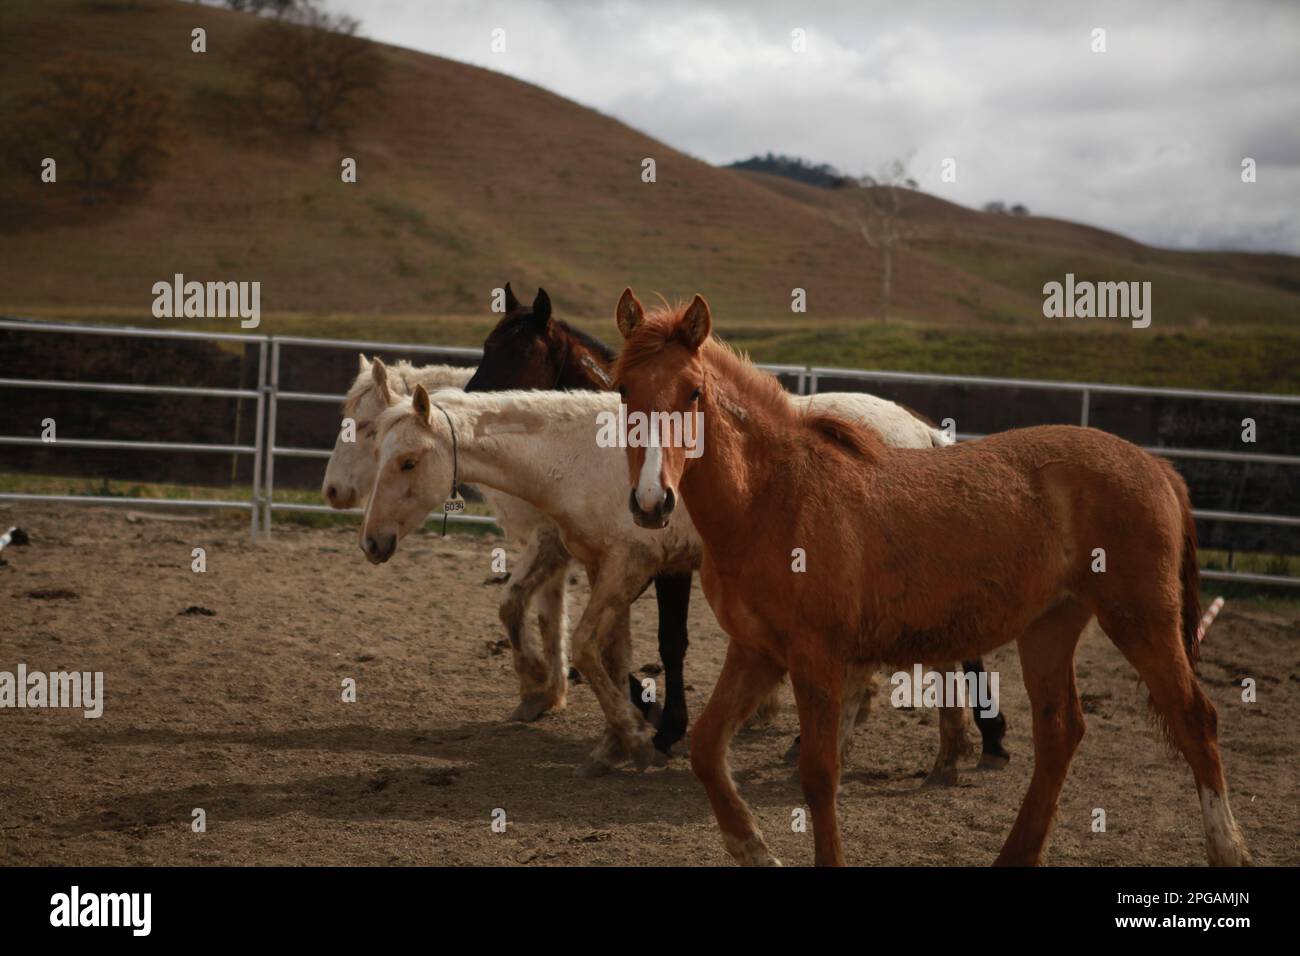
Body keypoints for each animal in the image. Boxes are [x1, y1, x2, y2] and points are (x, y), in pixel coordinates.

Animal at [366, 382, 993, 785]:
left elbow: (589, 648)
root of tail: (922, 434)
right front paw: (613, 746)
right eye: (378, 454)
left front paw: (637, 743)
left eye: (408, 461)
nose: (372, 542)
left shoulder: (630, 566)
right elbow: (612, 656)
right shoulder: (605, 568)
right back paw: (945, 757)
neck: (578, 452)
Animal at [613, 290, 1253, 868]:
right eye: (623, 390)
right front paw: (752, 848)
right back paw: (1015, 855)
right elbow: (705, 748)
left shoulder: (815, 659)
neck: (776, 497)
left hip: (1142, 621)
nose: (651, 502)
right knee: (1060, 733)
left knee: (1196, 720)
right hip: (1049, 627)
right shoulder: (757, 652)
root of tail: (1158, 467)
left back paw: (1229, 851)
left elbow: (819, 774)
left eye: (693, 392)